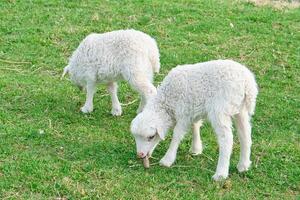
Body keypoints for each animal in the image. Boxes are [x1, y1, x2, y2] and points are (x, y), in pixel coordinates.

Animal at [130, 59, 258, 180]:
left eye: (151, 137)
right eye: (135, 137)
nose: (140, 154)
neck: (167, 101)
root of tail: (248, 83)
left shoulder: (183, 113)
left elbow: (177, 135)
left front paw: (168, 159)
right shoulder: (192, 111)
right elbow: (195, 126)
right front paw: (196, 149)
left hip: (220, 109)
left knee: (226, 139)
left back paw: (221, 174)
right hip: (240, 109)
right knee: (245, 135)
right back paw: (243, 165)